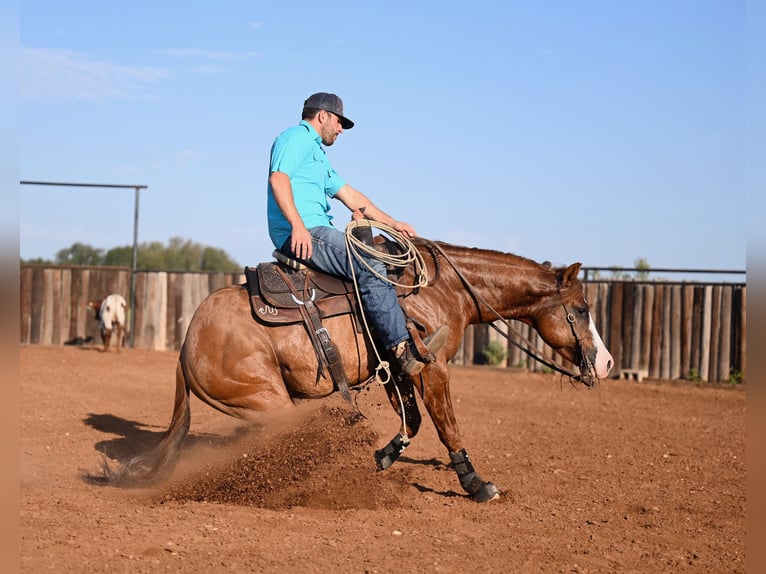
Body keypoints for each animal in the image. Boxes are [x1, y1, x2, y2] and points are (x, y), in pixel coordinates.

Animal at [105, 240, 616, 504]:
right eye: (582, 309)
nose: (607, 363)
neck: (443, 290)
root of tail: (186, 343)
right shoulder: (432, 369)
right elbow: (447, 425)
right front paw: (475, 483)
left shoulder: (398, 371)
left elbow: (412, 422)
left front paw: (382, 457)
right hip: (268, 403)